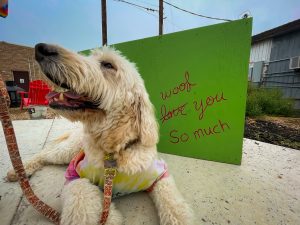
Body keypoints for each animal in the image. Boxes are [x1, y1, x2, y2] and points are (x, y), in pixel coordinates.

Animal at [8, 44, 193, 225]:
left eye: (108, 65)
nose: (41, 48)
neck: (115, 151)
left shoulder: (159, 175)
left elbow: (174, 205)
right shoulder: (74, 172)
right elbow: (81, 199)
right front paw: (110, 216)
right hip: (68, 152)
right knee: (45, 153)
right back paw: (19, 171)